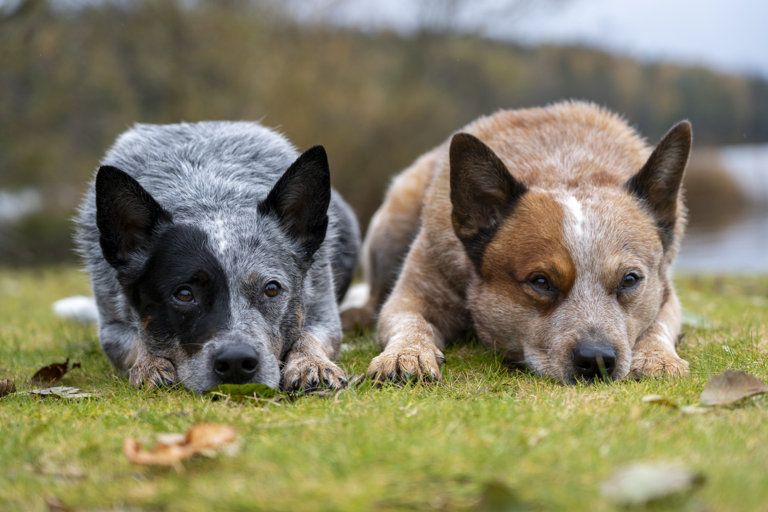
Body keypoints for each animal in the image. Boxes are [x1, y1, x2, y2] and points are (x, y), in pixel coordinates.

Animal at [76, 122, 358, 394]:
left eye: (271, 289)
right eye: (184, 294)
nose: (236, 361)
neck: (209, 197)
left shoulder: (323, 309)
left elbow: (308, 336)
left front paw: (311, 363)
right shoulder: (112, 326)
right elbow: (138, 340)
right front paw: (150, 364)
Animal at [344, 100, 692, 382]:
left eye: (629, 280)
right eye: (541, 281)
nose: (596, 359)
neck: (566, 169)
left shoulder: (666, 292)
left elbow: (659, 325)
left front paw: (657, 357)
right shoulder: (414, 290)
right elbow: (408, 320)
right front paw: (405, 353)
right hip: (392, 221)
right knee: (375, 297)